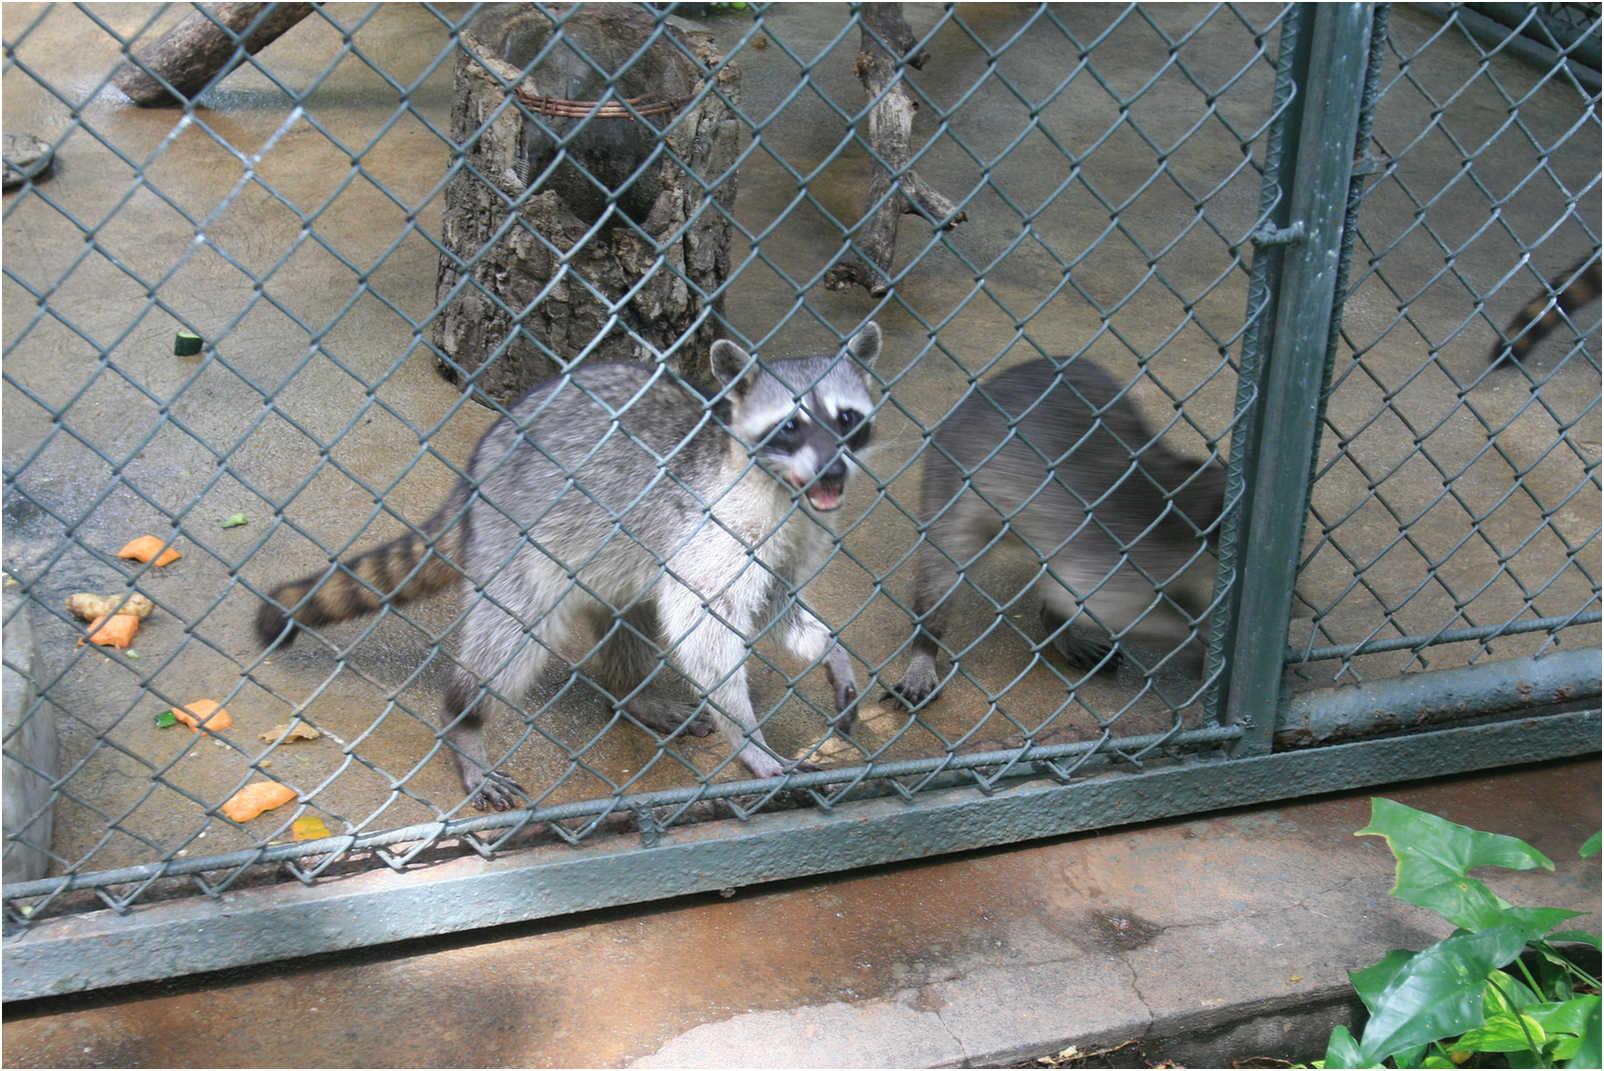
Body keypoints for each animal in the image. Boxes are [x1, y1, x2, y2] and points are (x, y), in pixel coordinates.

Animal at [263, 327, 891, 811]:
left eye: (846, 418)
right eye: (791, 425)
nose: (833, 470)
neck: (783, 489)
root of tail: (476, 467)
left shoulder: (796, 534)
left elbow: (776, 605)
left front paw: (829, 649)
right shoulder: (713, 526)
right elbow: (702, 625)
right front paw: (748, 736)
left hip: (607, 552)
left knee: (629, 615)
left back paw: (630, 693)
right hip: (516, 541)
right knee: (511, 639)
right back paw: (465, 722)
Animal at [891, 359, 1225, 711]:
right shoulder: (1124, 548)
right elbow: (1098, 603)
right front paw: (1195, 640)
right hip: (952, 478)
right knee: (944, 568)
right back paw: (926, 643)